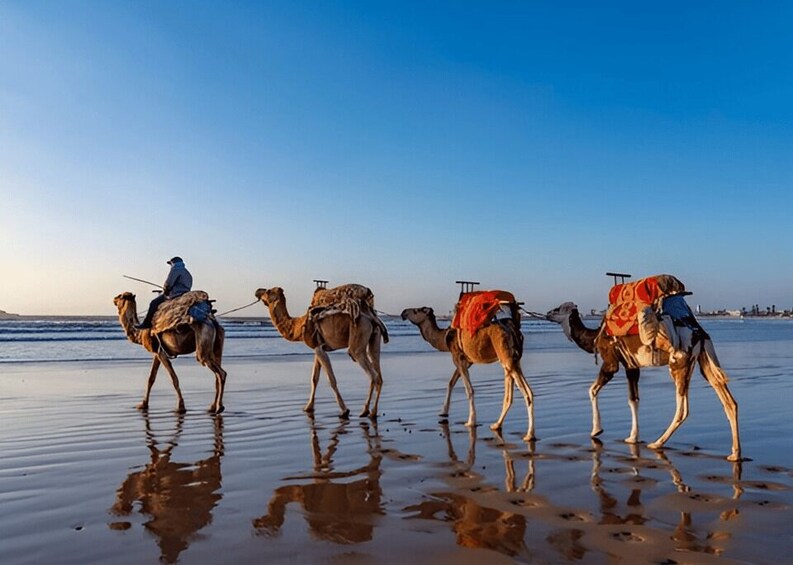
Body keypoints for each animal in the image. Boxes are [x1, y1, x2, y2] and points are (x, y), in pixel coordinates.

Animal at [254, 286, 387, 418]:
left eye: (268, 291)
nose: (257, 291)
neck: (298, 326)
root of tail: (370, 315)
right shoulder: (317, 347)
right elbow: (314, 378)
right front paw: (308, 407)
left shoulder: (319, 349)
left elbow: (331, 380)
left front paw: (344, 410)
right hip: (374, 338)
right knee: (379, 374)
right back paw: (373, 412)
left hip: (358, 338)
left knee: (372, 374)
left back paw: (365, 410)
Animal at [400, 305, 535, 441]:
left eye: (416, 310)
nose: (403, 313)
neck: (445, 338)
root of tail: (513, 329)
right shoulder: (466, 361)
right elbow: (451, 383)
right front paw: (443, 412)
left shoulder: (458, 358)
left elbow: (469, 390)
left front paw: (471, 421)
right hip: (513, 360)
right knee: (513, 394)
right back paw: (496, 425)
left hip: (506, 356)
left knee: (527, 393)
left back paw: (529, 435)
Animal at [546, 301, 741, 461]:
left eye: (559, 308)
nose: (547, 313)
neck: (595, 337)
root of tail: (700, 334)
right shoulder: (631, 366)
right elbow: (634, 400)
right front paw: (633, 437)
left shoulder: (611, 362)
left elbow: (592, 390)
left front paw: (596, 430)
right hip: (704, 360)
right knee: (729, 401)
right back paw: (735, 454)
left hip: (679, 364)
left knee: (683, 409)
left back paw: (657, 443)